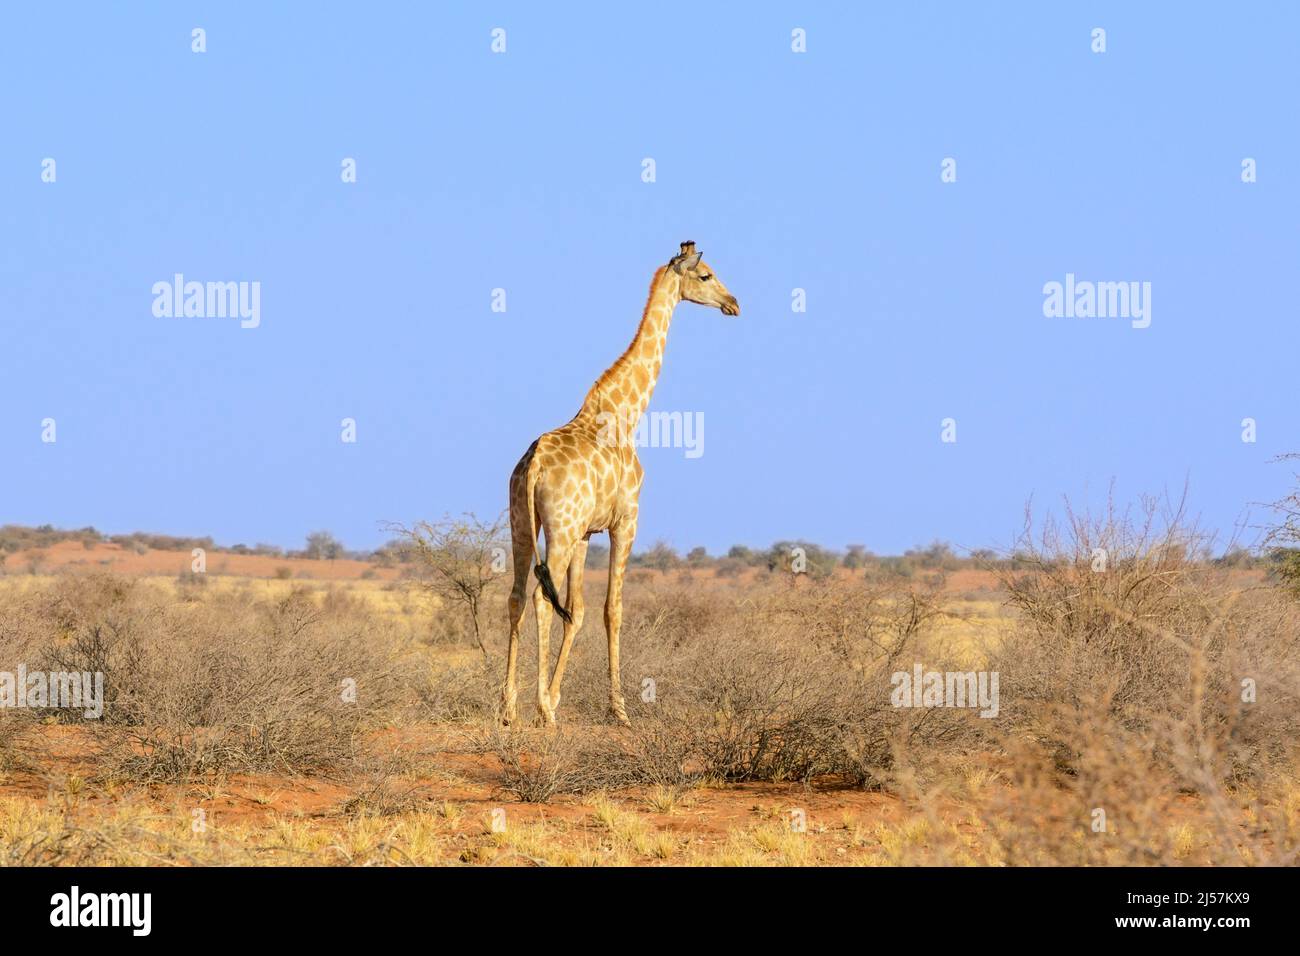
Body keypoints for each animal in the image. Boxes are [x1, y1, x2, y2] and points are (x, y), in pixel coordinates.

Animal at [501, 241, 740, 727]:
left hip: (522, 524)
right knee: (539, 598)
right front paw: (618, 709)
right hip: (557, 530)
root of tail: (533, 465)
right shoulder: (625, 521)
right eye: (706, 274)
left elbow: (576, 610)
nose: (734, 304)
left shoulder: (585, 533)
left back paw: (509, 709)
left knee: (516, 597)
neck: (626, 414)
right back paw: (540, 712)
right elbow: (612, 609)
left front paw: (557, 696)